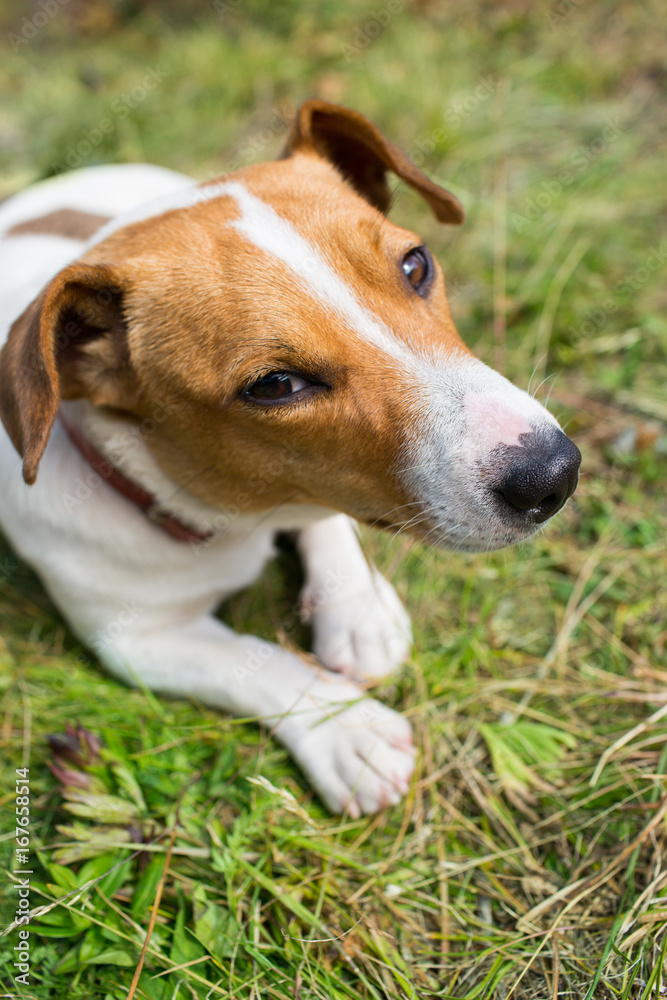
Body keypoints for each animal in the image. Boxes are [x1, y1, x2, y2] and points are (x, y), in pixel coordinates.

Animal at [0, 101, 580, 816]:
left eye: (415, 265)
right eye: (275, 385)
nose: (554, 474)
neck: (228, 514)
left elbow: (325, 521)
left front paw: (358, 610)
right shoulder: (134, 641)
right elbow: (253, 664)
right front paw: (347, 731)